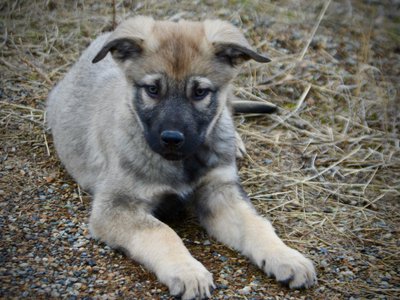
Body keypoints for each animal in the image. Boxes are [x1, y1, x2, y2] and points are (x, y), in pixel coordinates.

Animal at [46, 17, 316, 300]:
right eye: (153, 89)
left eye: (200, 92)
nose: (172, 138)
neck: (182, 161)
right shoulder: (116, 206)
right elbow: (163, 232)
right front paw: (188, 271)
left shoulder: (219, 191)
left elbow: (256, 223)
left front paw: (286, 256)